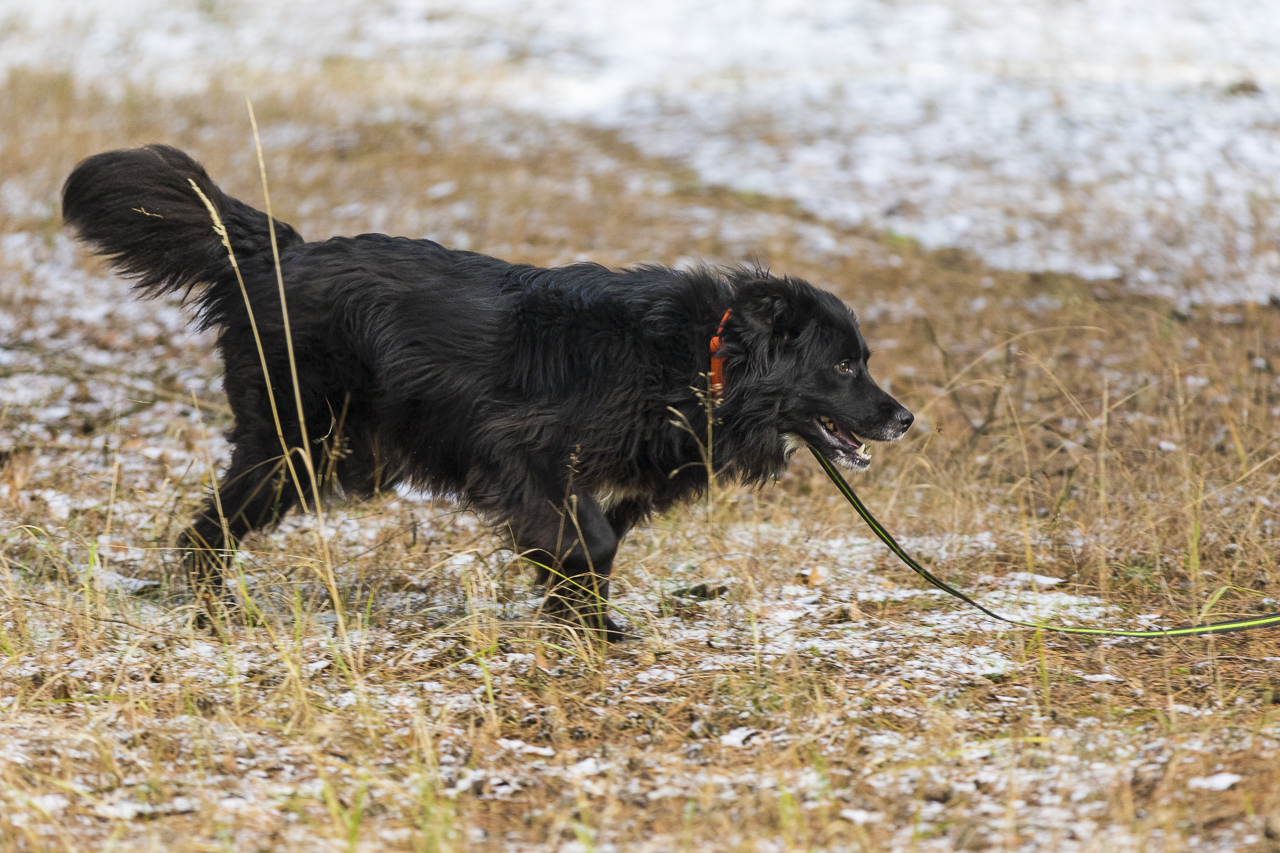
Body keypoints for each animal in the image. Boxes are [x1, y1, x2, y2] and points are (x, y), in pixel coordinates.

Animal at [61, 145, 913, 639]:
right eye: (843, 367)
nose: (905, 417)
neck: (697, 359)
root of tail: (276, 252)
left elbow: (593, 547)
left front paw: (582, 621)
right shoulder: (520, 448)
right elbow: (589, 539)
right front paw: (585, 623)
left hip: (333, 452)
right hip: (297, 438)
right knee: (209, 526)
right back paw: (212, 611)